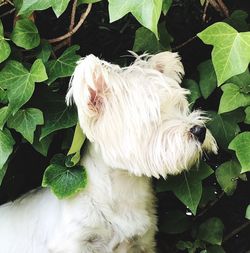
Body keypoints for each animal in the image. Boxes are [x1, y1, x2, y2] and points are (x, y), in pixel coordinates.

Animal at [0, 51, 216, 251]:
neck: (125, 188)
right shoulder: (74, 242)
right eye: (154, 117)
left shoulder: (143, 242)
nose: (200, 131)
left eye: (179, 107)